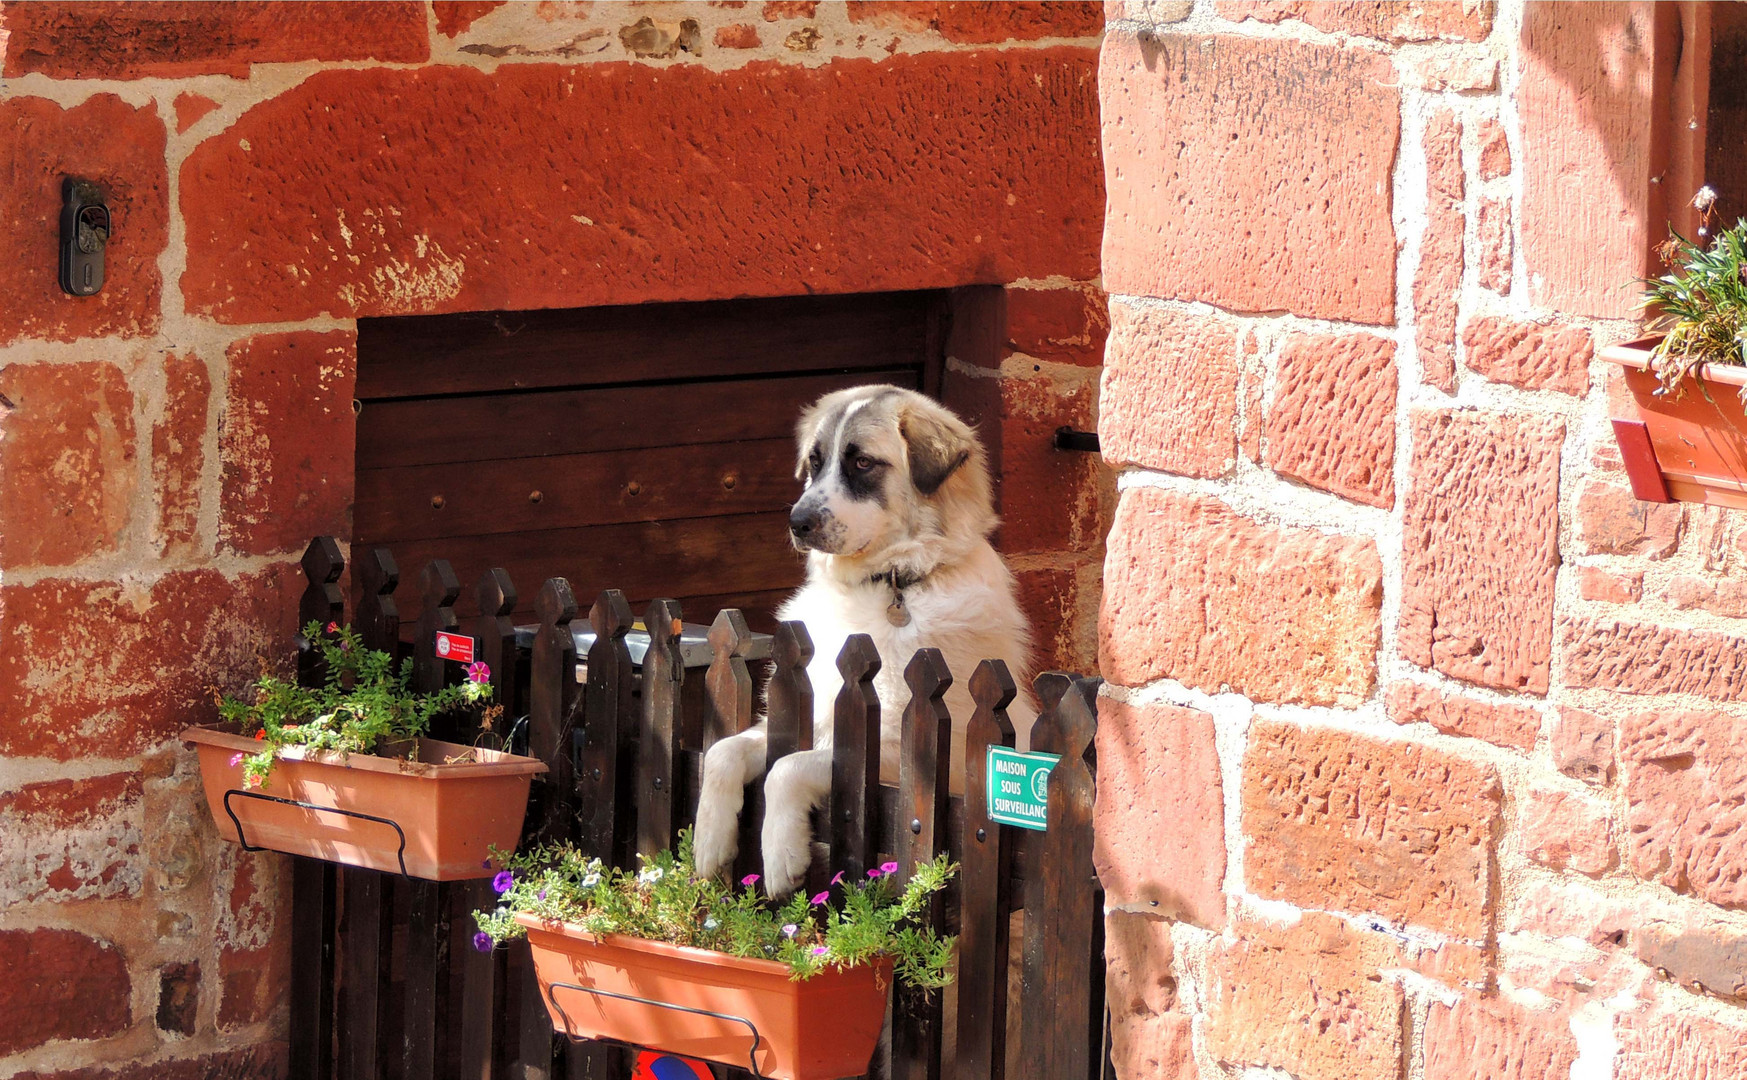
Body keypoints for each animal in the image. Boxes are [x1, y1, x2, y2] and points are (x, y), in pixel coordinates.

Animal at [688, 384, 1027, 891]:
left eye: (863, 462)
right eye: (814, 462)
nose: (797, 522)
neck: (889, 584)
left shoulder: (906, 753)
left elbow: (787, 768)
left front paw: (781, 854)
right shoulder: (799, 719)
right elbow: (723, 751)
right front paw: (710, 839)